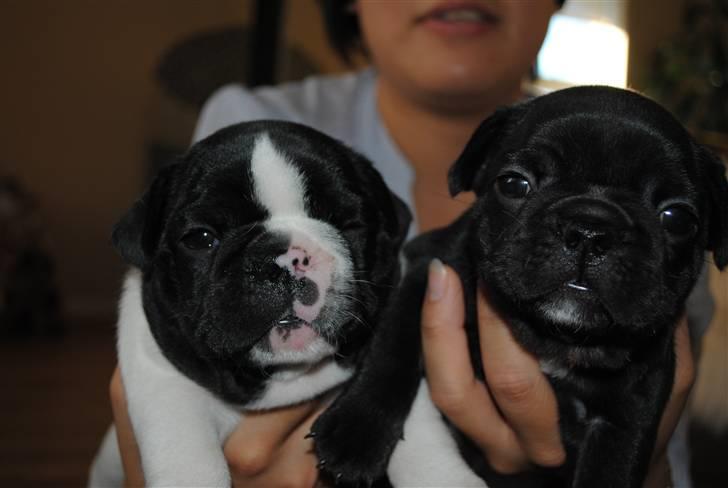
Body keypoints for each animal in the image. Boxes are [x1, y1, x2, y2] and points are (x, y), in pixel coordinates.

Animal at [86, 120, 410, 486]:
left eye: (350, 225)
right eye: (200, 238)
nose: (284, 261)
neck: (284, 377)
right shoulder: (162, 377)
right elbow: (188, 455)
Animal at [314, 86, 728, 488]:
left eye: (677, 218)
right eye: (514, 184)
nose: (590, 229)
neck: (556, 337)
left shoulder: (631, 407)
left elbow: (615, 464)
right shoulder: (429, 272)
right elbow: (391, 351)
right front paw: (355, 434)